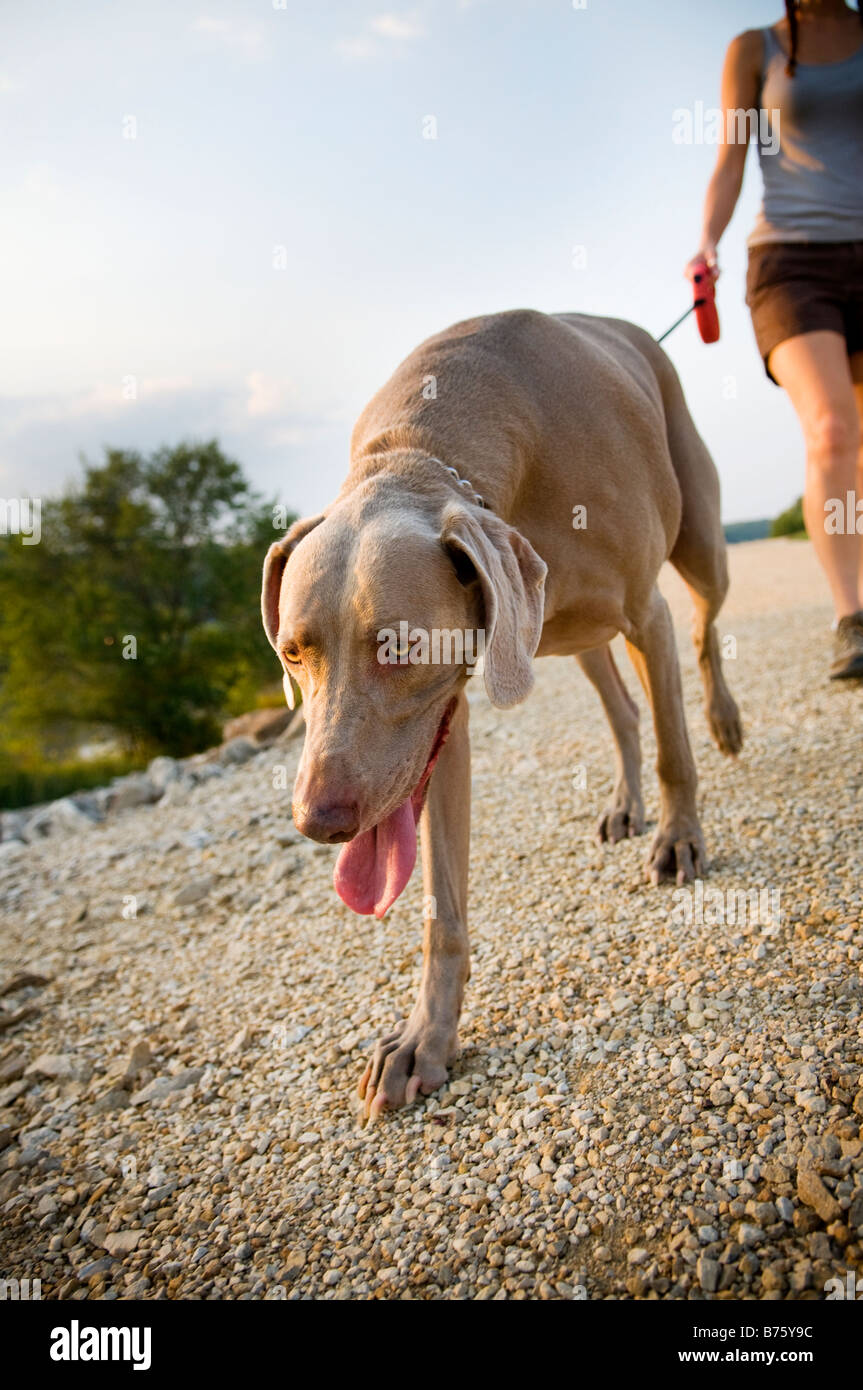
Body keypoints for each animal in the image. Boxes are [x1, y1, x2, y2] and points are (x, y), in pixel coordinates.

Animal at [262, 312, 739, 1117]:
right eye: (294, 653)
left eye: (400, 646)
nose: (317, 821)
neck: (421, 453)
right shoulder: (444, 724)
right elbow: (441, 908)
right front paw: (424, 1038)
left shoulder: (645, 612)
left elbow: (675, 747)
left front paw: (679, 840)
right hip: (555, 625)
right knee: (622, 710)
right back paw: (625, 801)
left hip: (697, 544)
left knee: (704, 631)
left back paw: (723, 722)